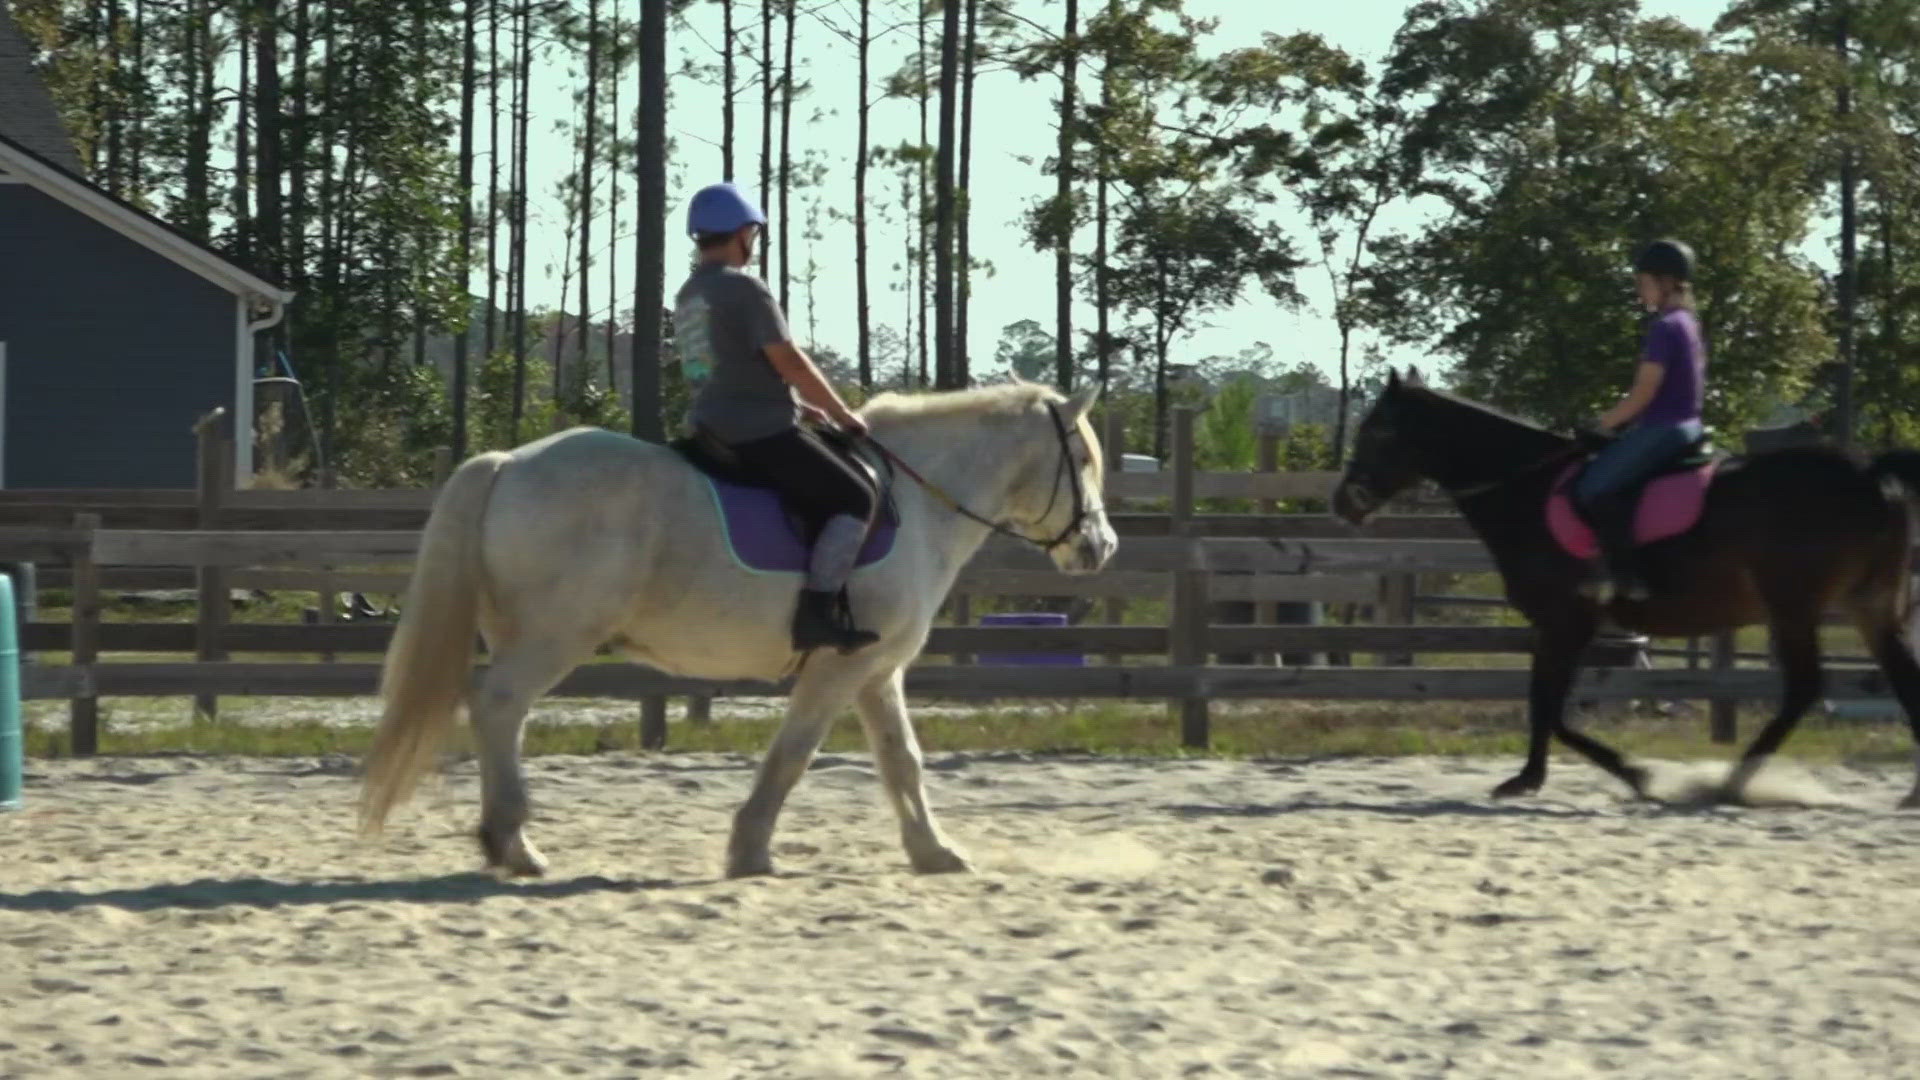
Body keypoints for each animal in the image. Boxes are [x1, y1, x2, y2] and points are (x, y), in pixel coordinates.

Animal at [357, 381, 1118, 877]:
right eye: (1081, 461)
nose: (1101, 548)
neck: (918, 502)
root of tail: (509, 463)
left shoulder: (876, 672)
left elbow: (902, 759)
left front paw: (934, 852)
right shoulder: (838, 668)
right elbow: (794, 754)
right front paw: (750, 849)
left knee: (497, 714)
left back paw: (503, 840)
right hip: (554, 637)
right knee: (498, 706)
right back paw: (513, 843)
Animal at [1331, 368, 1920, 807]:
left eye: (1378, 432)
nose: (1344, 503)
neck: (1527, 489)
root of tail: (1867, 473)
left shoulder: (1567, 621)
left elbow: (1551, 708)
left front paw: (1635, 775)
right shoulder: (1561, 627)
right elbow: (1544, 703)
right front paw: (1530, 778)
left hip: (1793, 606)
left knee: (1803, 688)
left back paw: (1730, 785)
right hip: (1867, 607)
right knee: (1901, 678)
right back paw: (1909, 794)